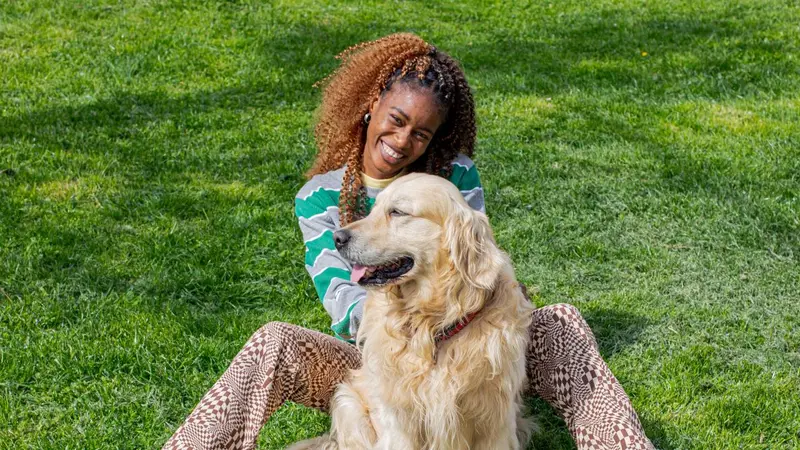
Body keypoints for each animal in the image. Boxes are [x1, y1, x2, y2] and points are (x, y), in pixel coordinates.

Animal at [290, 173, 536, 450]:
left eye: (397, 212)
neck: (433, 325)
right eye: (373, 210)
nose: (337, 238)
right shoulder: (400, 424)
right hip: (349, 405)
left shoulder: (495, 422)